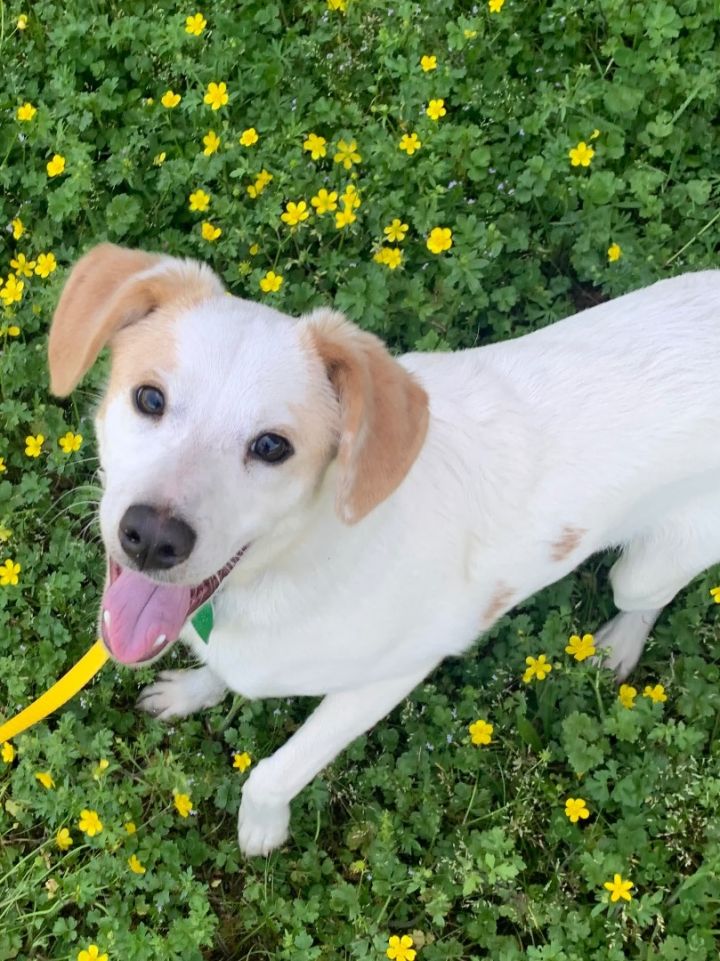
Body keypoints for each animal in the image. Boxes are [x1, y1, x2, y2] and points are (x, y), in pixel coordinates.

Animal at [47, 246, 720, 856]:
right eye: (149, 399)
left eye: (271, 446)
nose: (152, 537)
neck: (293, 562)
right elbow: (225, 673)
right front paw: (190, 692)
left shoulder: (389, 678)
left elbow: (276, 771)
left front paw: (261, 830)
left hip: (650, 563)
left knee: (645, 598)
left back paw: (619, 645)